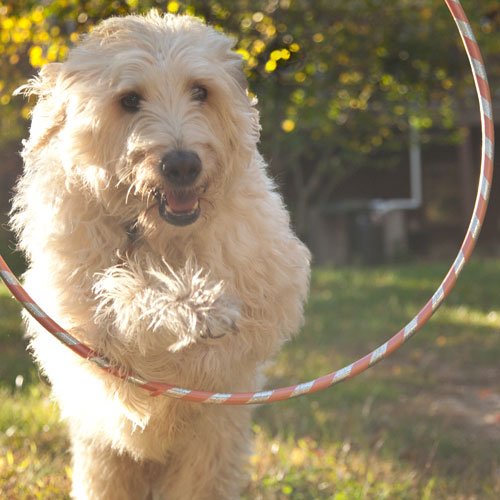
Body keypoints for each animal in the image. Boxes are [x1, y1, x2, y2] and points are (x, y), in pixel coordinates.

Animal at [9, 12, 310, 500]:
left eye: (200, 91)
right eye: (129, 99)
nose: (182, 164)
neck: (158, 235)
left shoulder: (269, 288)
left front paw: (199, 306)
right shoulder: (77, 316)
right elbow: (121, 301)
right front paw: (193, 305)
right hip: (104, 462)